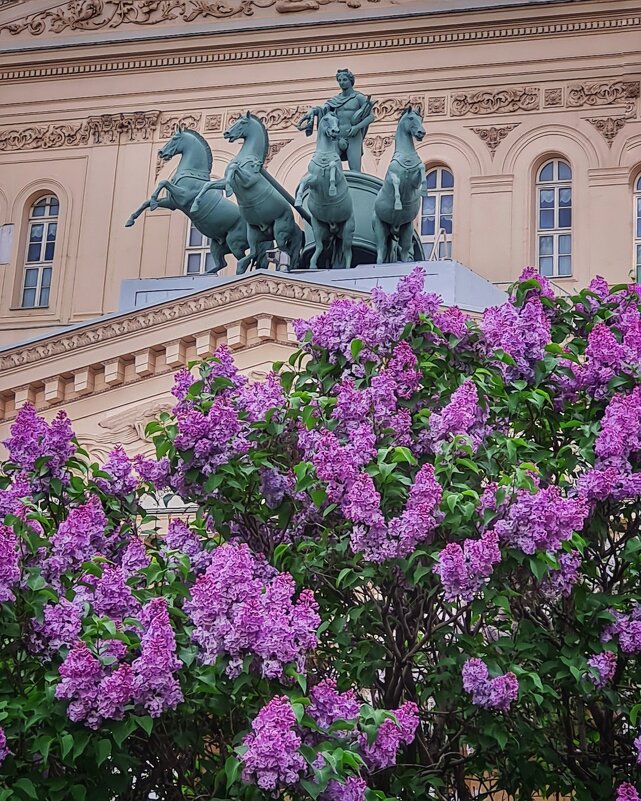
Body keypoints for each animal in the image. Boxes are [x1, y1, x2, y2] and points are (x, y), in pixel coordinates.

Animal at [124, 126, 251, 274]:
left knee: (244, 260)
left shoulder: (183, 197)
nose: (161, 152)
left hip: (234, 242)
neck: (192, 174)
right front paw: (131, 219)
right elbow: (147, 201)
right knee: (222, 263)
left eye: (174, 138)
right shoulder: (172, 203)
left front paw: (154, 201)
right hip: (217, 244)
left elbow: (163, 182)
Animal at [190, 113, 302, 272]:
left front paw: (229, 189)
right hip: (253, 233)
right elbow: (208, 184)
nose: (226, 133)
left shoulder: (249, 180)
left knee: (283, 252)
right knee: (253, 254)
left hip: (280, 231)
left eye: (242, 122)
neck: (247, 156)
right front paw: (195, 204)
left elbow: (234, 169)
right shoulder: (223, 181)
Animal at [292, 111, 352, 270]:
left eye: (337, 120)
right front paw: (298, 200)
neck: (325, 154)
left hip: (348, 231)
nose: (335, 131)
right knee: (319, 247)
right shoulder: (314, 180)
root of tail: (334, 227)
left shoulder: (338, 174)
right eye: (325, 119)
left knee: (348, 252)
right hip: (319, 229)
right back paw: (313, 265)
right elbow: (303, 181)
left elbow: (332, 166)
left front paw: (331, 189)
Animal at [370, 104, 424, 262]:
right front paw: (398, 203)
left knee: (405, 252)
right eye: (411, 118)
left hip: (406, 231)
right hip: (381, 229)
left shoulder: (415, 179)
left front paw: (425, 189)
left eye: (421, 119)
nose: (421, 132)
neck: (406, 156)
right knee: (381, 251)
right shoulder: (392, 176)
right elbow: (395, 181)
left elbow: (421, 169)